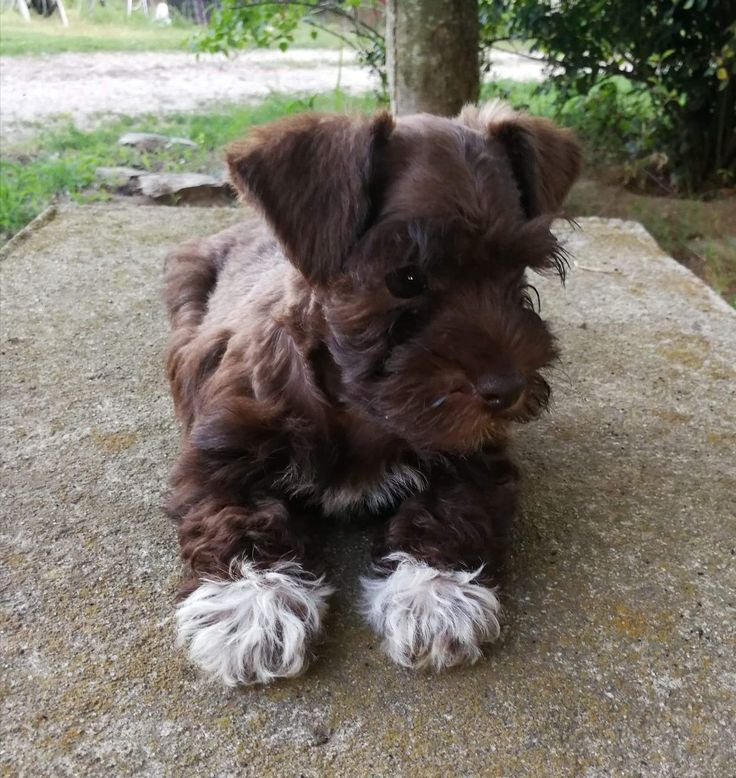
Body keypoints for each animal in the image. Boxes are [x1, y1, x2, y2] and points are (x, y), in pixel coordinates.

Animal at [162, 98, 580, 684]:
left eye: (518, 268)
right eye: (405, 278)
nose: (507, 389)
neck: (355, 409)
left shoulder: (473, 453)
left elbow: (450, 512)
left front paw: (435, 595)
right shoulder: (217, 457)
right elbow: (234, 521)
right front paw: (251, 607)